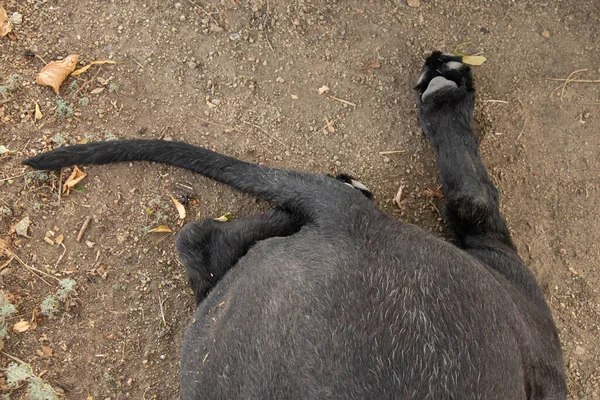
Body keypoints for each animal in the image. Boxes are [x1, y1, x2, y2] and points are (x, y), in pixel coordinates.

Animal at [24, 54, 568, 400]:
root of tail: (351, 223)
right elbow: (472, 199)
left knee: (201, 239)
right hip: (517, 307)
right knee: (474, 199)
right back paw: (444, 92)